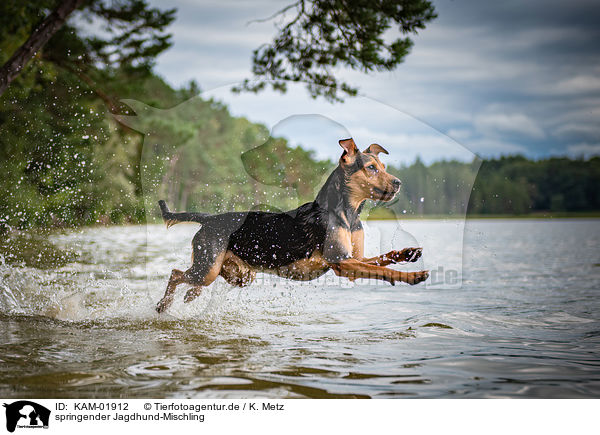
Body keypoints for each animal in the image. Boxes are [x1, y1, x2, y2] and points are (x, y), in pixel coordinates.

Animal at [155, 138, 426, 312]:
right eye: (371, 168)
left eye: (384, 167)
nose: (398, 183)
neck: (348, 212)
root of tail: (209, 218)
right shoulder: (341, 262)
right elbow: (385, 271)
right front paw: (413, 277)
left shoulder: (353, 259)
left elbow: (382, 259)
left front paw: (407, 253)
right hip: (209, 266)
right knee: (176, 273)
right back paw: (163, 305)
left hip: (239, 274)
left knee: (193, 279)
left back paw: (190, 295)